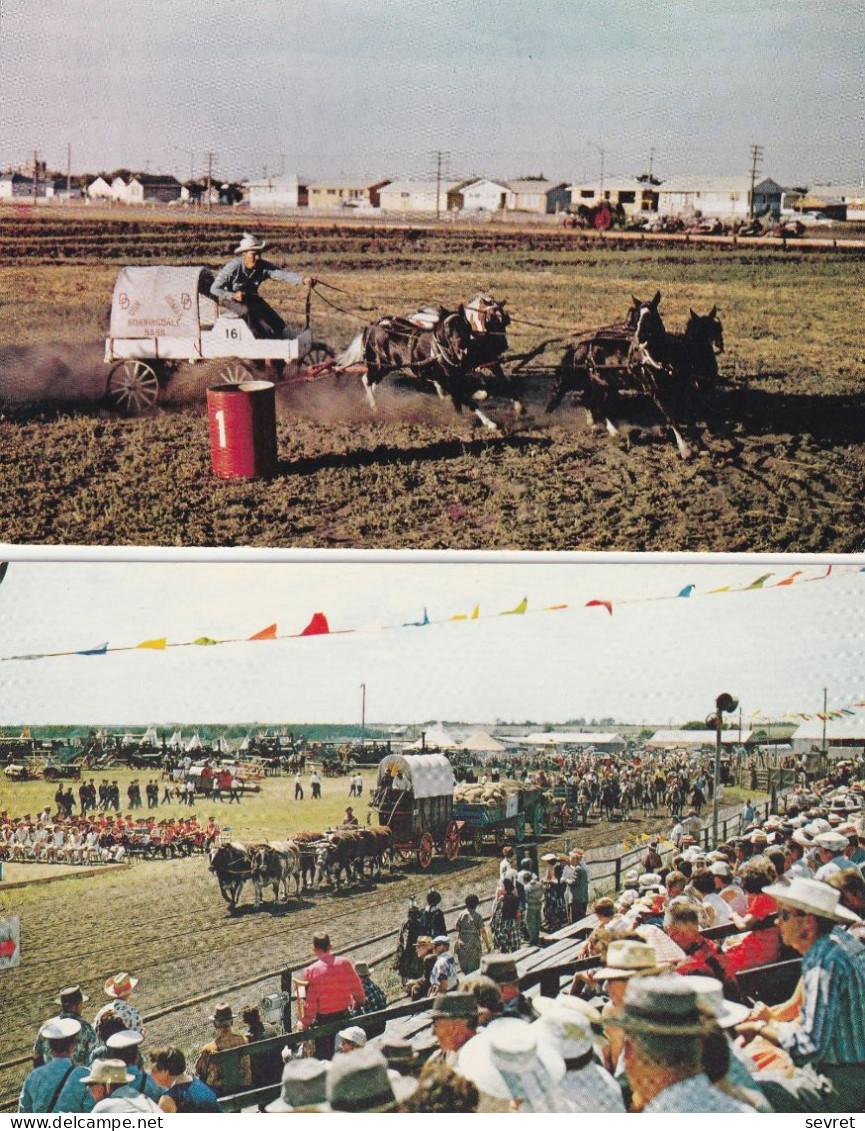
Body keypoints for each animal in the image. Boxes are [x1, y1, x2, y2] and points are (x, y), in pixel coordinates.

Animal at [332, 294, 520, 429]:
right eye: (489, 319)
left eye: (506, 321)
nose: (503, 346)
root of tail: (373, 325)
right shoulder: (453, 378)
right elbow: (467, 398)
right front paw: (490, 422)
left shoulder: (480, 365)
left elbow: (496, 384)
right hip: (377, 364)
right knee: (366, 380)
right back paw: (374, 407)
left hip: (386, 367)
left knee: (372, 383)